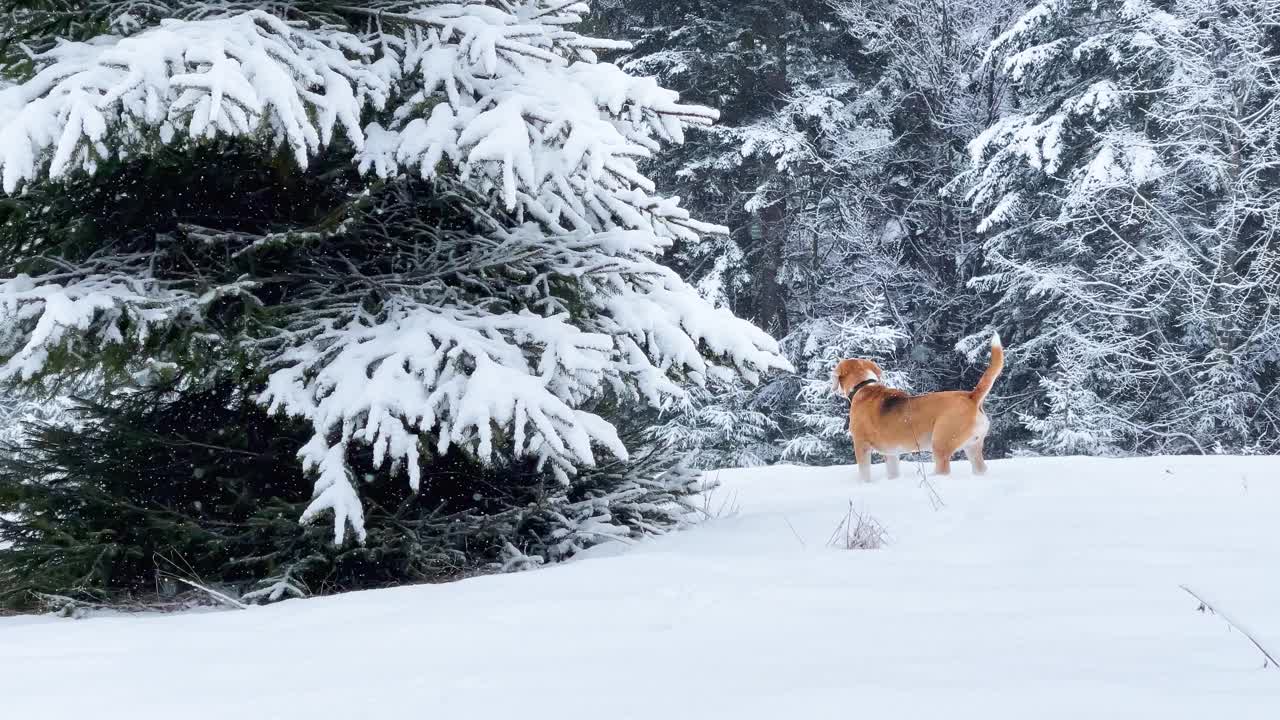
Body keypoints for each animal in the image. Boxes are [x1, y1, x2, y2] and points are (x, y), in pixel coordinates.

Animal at [834, 335, 1003, 481]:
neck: (863, 386)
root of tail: (971, 396)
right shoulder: (891, 454)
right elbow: (893, 472)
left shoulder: (861, 445)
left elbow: (864, 473)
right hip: (973, 447)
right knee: (980, 468)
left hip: (941, 446)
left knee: (943, 469)